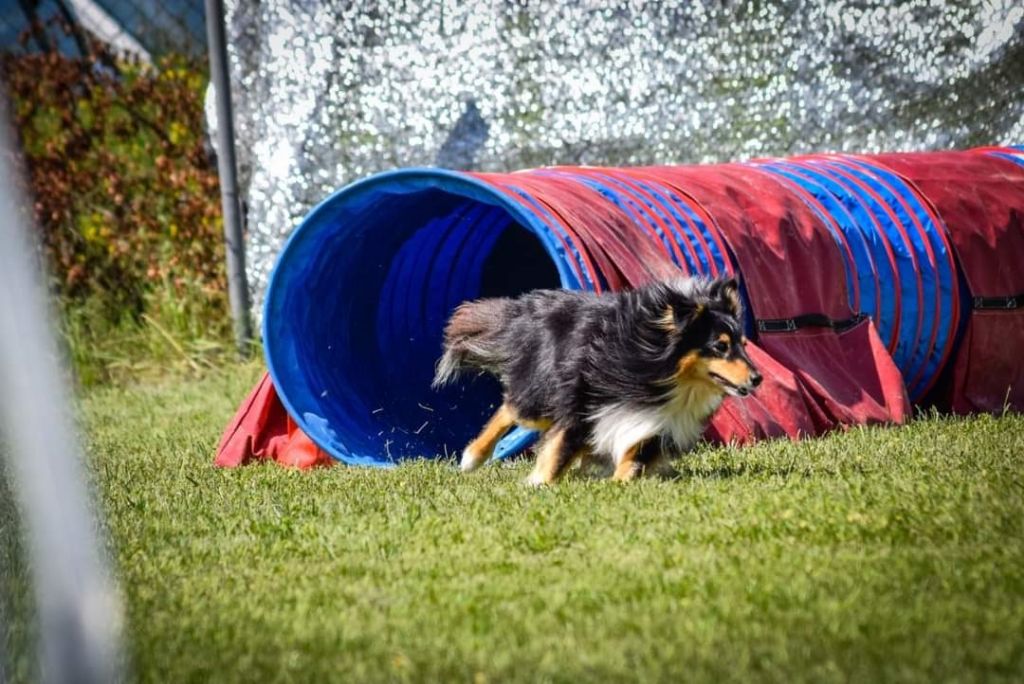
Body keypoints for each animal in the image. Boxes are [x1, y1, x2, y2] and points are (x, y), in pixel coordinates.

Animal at [432, 274, 761, 483]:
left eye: (744, 345)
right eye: (720, 346)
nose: (758, 378)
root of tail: (526, 308)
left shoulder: (657, 424)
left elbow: (633, 461)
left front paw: (617, 484)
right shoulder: (582, 403)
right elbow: (559, 451)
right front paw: (539, 484)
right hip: (543, 391)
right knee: (509, 408)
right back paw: (472, 457)